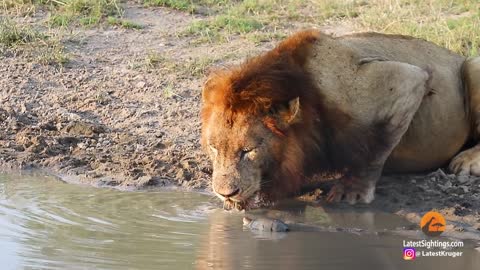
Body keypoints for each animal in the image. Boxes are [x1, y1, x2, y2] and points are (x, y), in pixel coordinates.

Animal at [202, 30, 480, 209]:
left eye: (248, 151)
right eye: (214, 148)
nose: (225, 193)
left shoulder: (403, 80)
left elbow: (377, 145)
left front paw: (351, 191)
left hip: (472, 66)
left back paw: (466, 161)